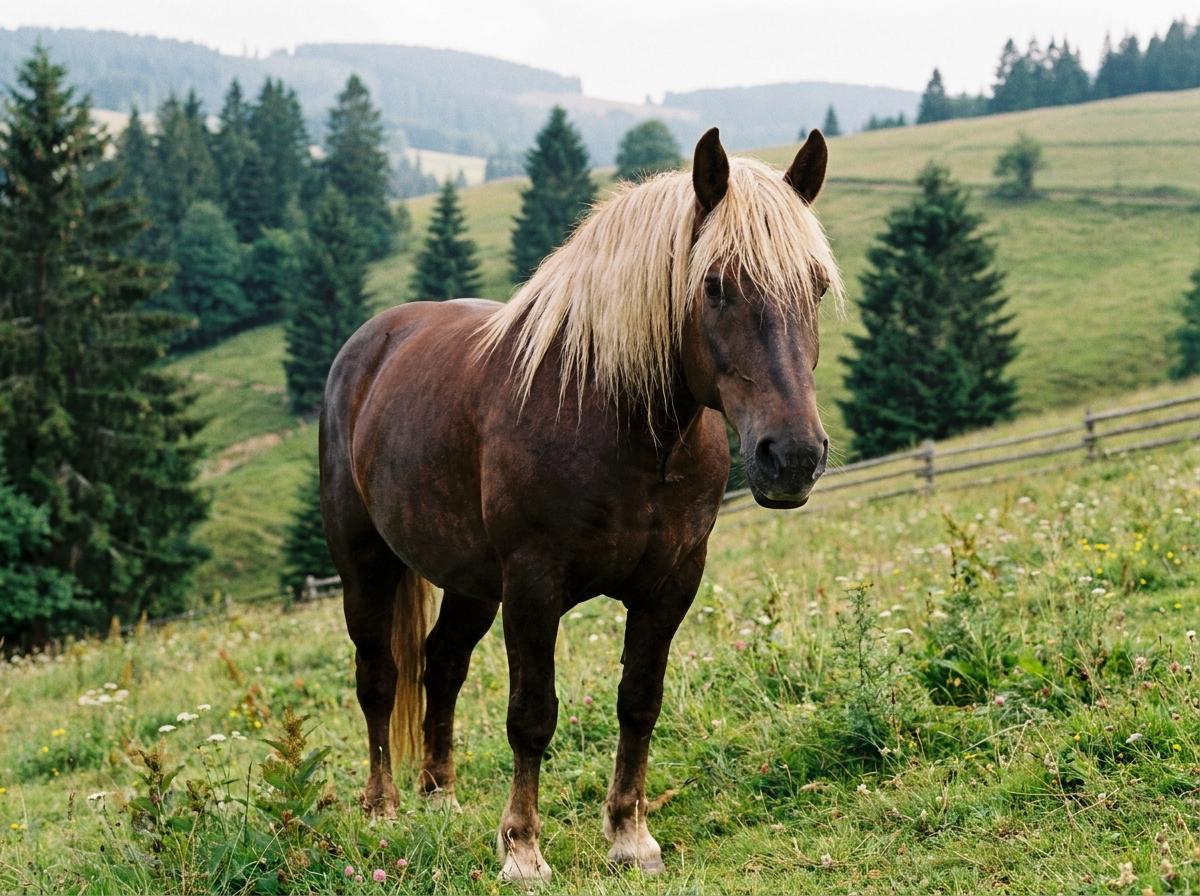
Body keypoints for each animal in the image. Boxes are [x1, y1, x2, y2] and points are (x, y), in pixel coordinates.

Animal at [319, 126, 843, 882]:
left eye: (817, 284)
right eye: (715, 286)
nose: (793, 455)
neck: (619, 425)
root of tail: (370, 344)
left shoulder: (670, 584)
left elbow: (640, 703)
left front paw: (630, 837)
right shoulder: (533, 587)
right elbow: (532, 714)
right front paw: (521, 849)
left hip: (471, 582)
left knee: (442, 663)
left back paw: (440, 799)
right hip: (365, 565)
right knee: (379, 676)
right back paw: (384, 808)